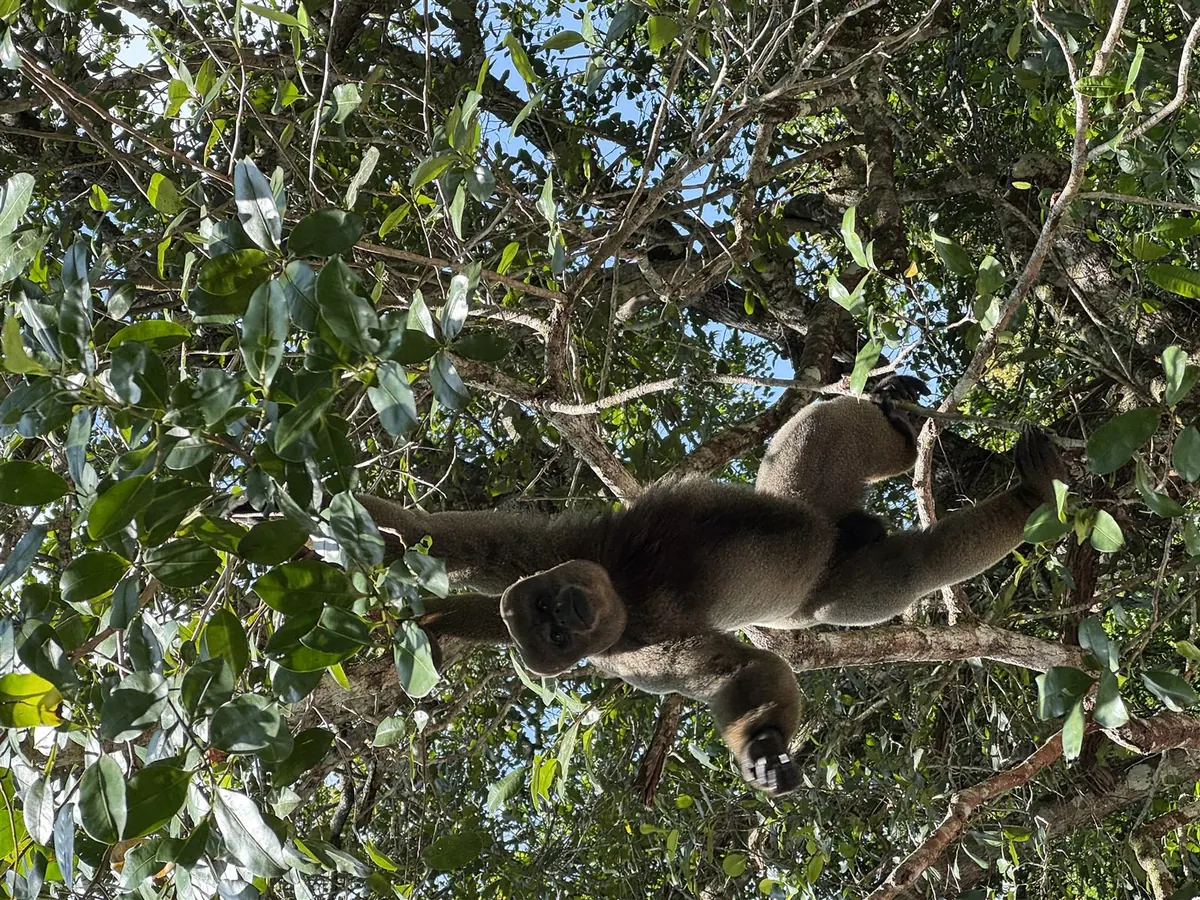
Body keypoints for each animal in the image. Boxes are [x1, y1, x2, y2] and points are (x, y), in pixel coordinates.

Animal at [357, 380, 1067, 796]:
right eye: (554, 634)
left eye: (547, 609)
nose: (568, 611)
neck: (627, 595)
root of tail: (834, 528)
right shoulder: (635, 657)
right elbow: (741, 671)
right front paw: (761, 752)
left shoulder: (558, 552)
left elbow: (457, 543)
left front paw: (353, 523)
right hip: (825, 584)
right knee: (908, 568)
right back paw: (1026, 498)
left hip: (800, 478)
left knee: (826, 429)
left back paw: (897, 411)